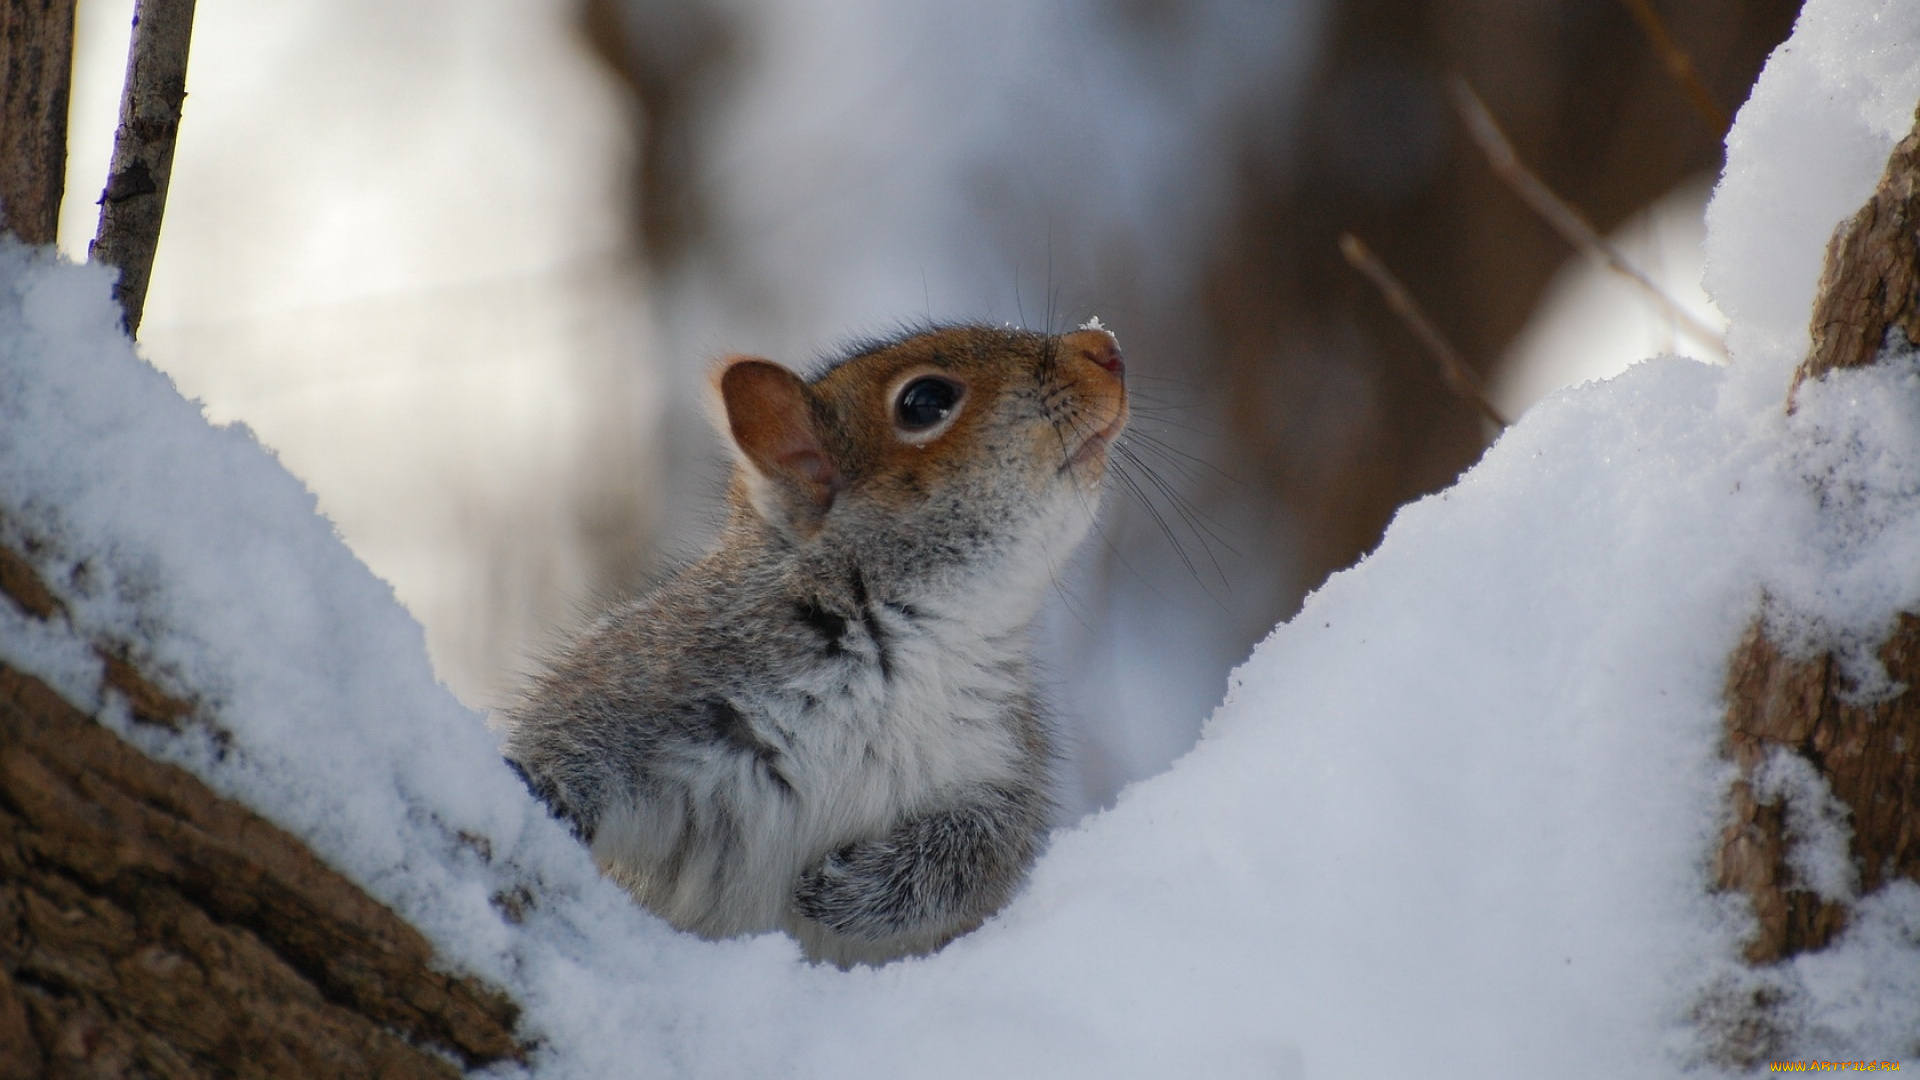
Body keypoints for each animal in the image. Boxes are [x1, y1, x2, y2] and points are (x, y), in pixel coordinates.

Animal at [499, 322, 1121, 960]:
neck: (916, 640)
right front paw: (547, 795)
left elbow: (982, 854)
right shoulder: (656, 669)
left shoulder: (1001, 757)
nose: (1103, 348)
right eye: (925, 402)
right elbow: (565, 732)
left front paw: (845, 891)